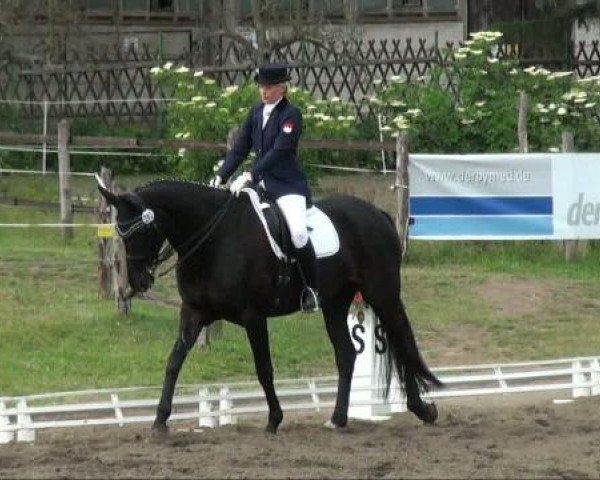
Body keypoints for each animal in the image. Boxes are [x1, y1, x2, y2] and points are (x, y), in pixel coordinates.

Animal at [98, 181, 442, 436]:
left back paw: (422, 410)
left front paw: (274, 419)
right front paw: (160, 420)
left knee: (403, 341)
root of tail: (377, 213)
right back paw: (337, 419)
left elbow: (264, 368)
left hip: (382, 294)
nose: (139, 282)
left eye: (142, 231)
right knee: (347, 354)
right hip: (335, 303)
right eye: (120, 232)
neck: (214, 239)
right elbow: (173, 362)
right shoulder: (194, 313)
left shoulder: (253, 317)